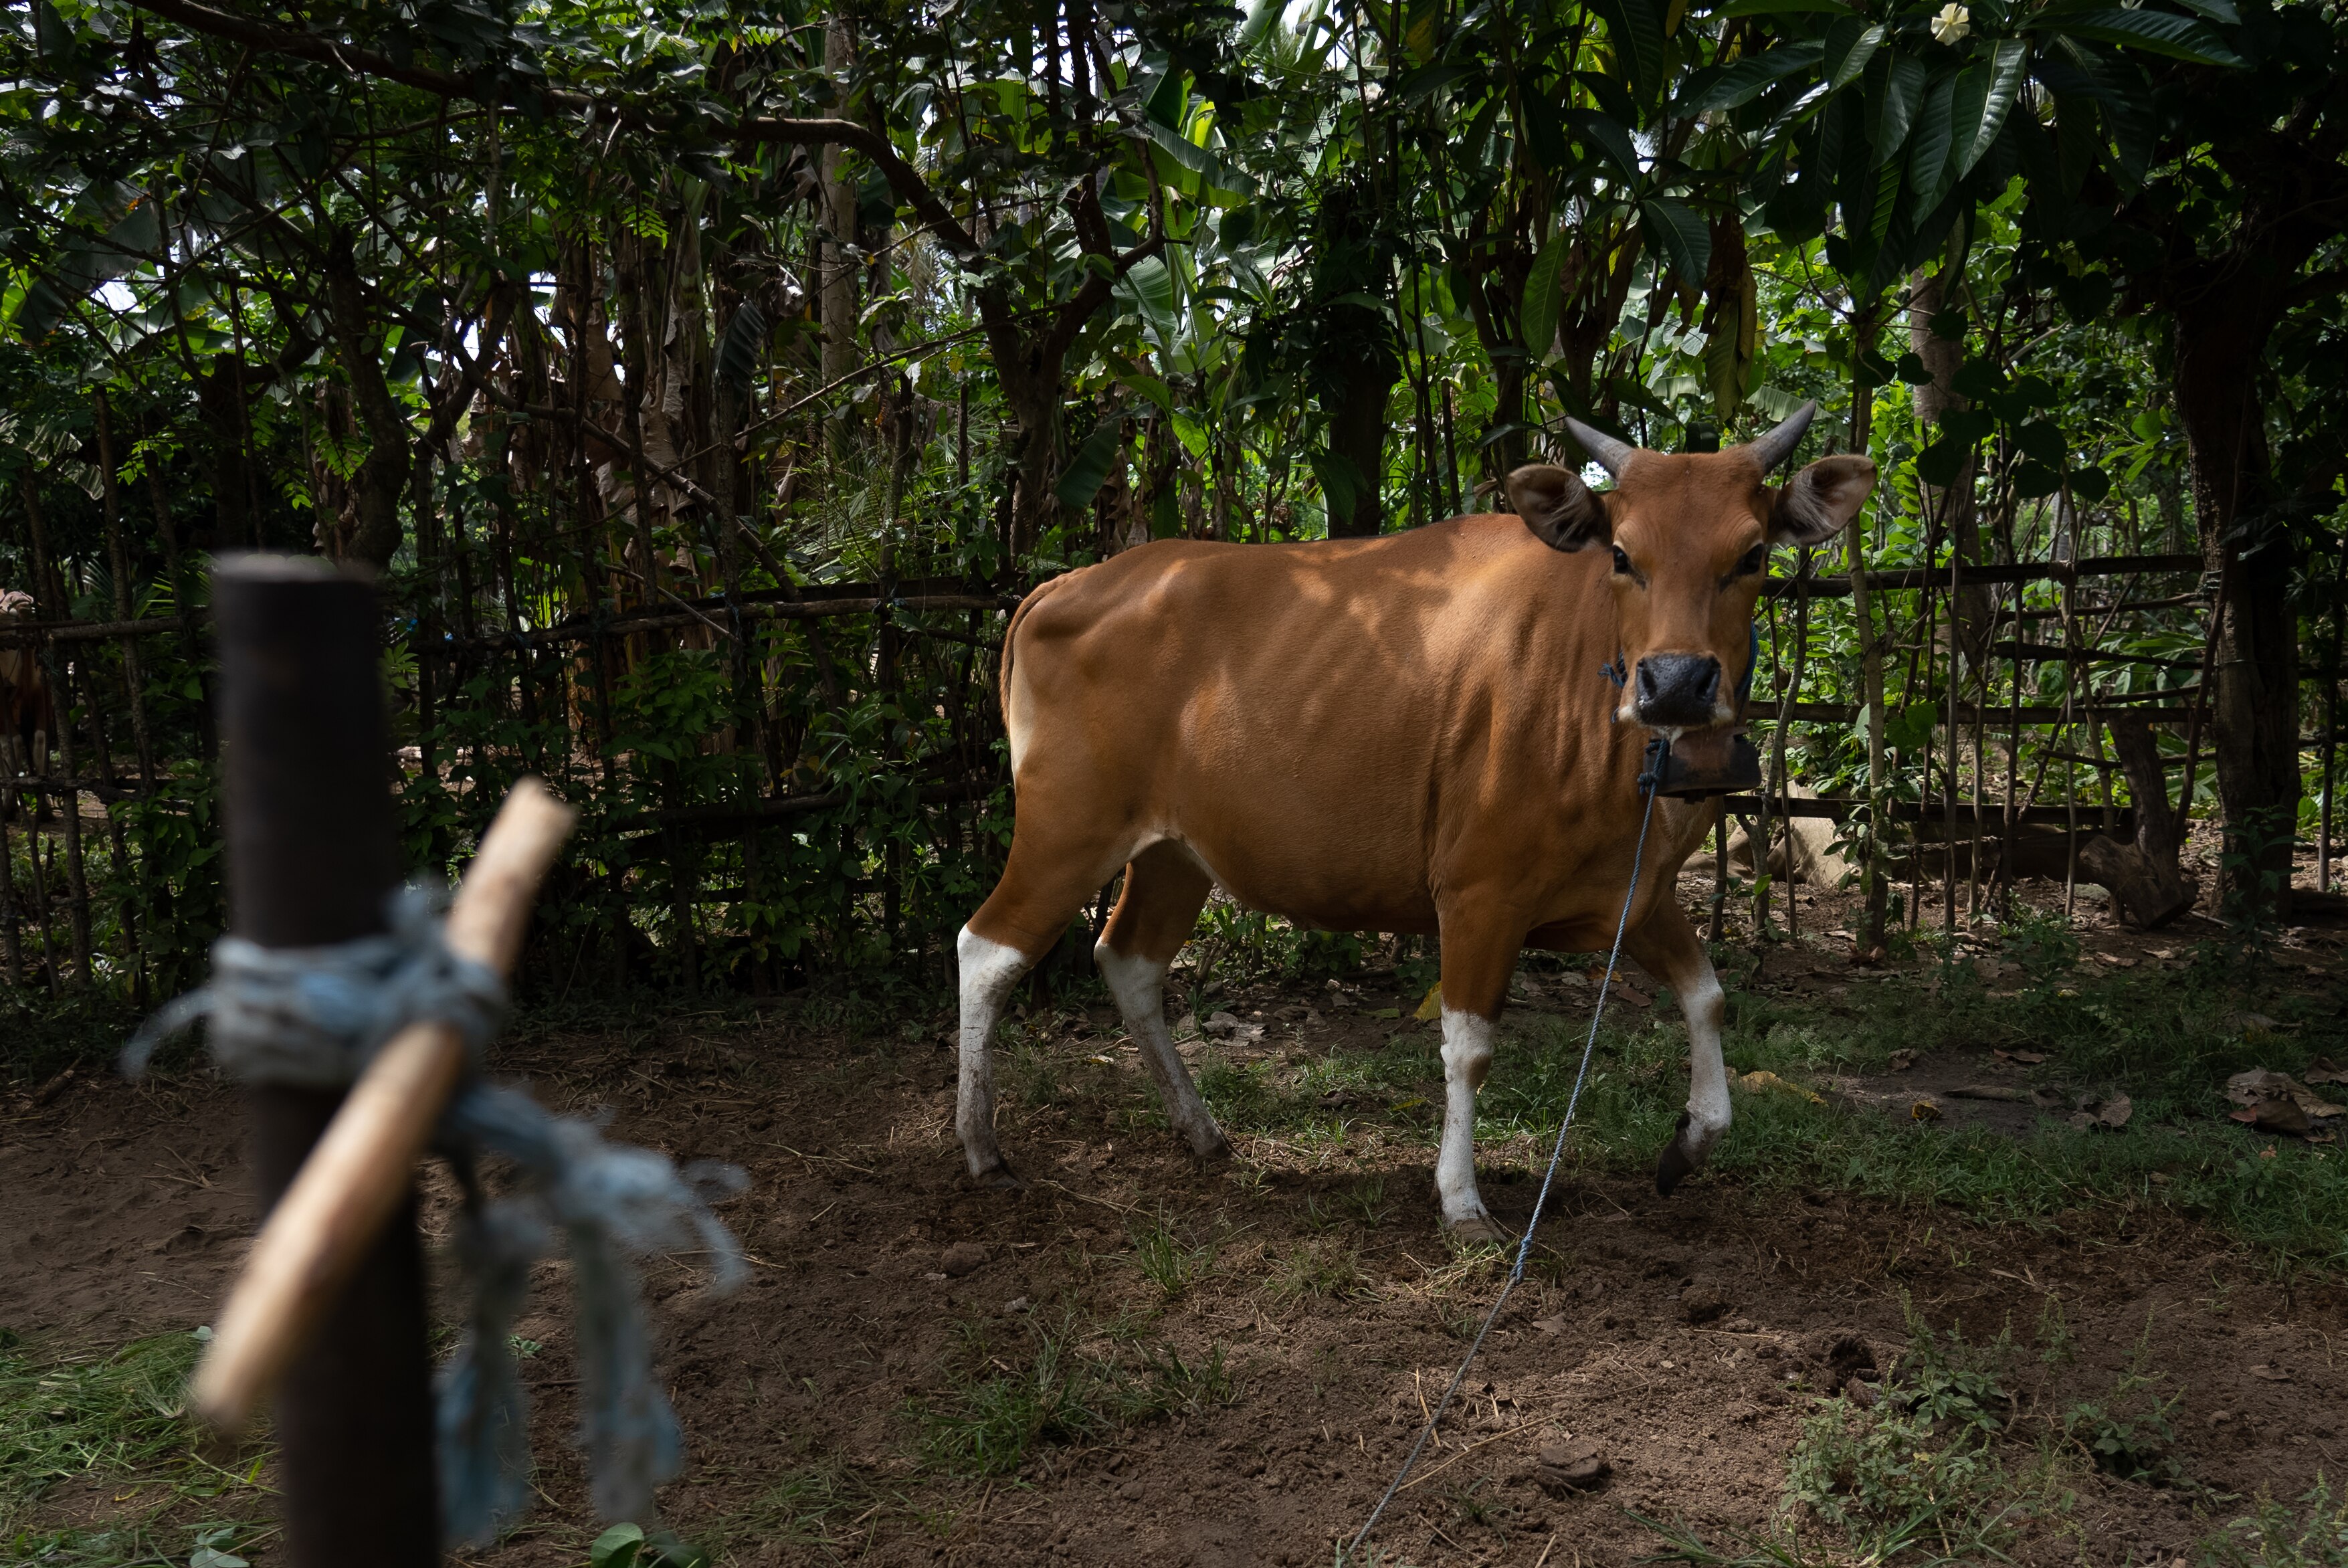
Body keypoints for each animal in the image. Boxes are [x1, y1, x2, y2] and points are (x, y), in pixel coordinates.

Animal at [953, 404, 1875, 1234]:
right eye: (1623, 554)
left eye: (1751, 555)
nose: (1676, 682)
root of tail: (1060, 584)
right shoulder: (1478, 891)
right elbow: (1469, 1046)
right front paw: (1462, 1201)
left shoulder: (1634, 895)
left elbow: (1709, 998)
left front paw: (1688, 1144)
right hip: (1066, 825)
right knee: (987, 948)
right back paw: (980, 1147)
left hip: (1175, 853)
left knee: (1129, 960)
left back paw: (1202, 1131)